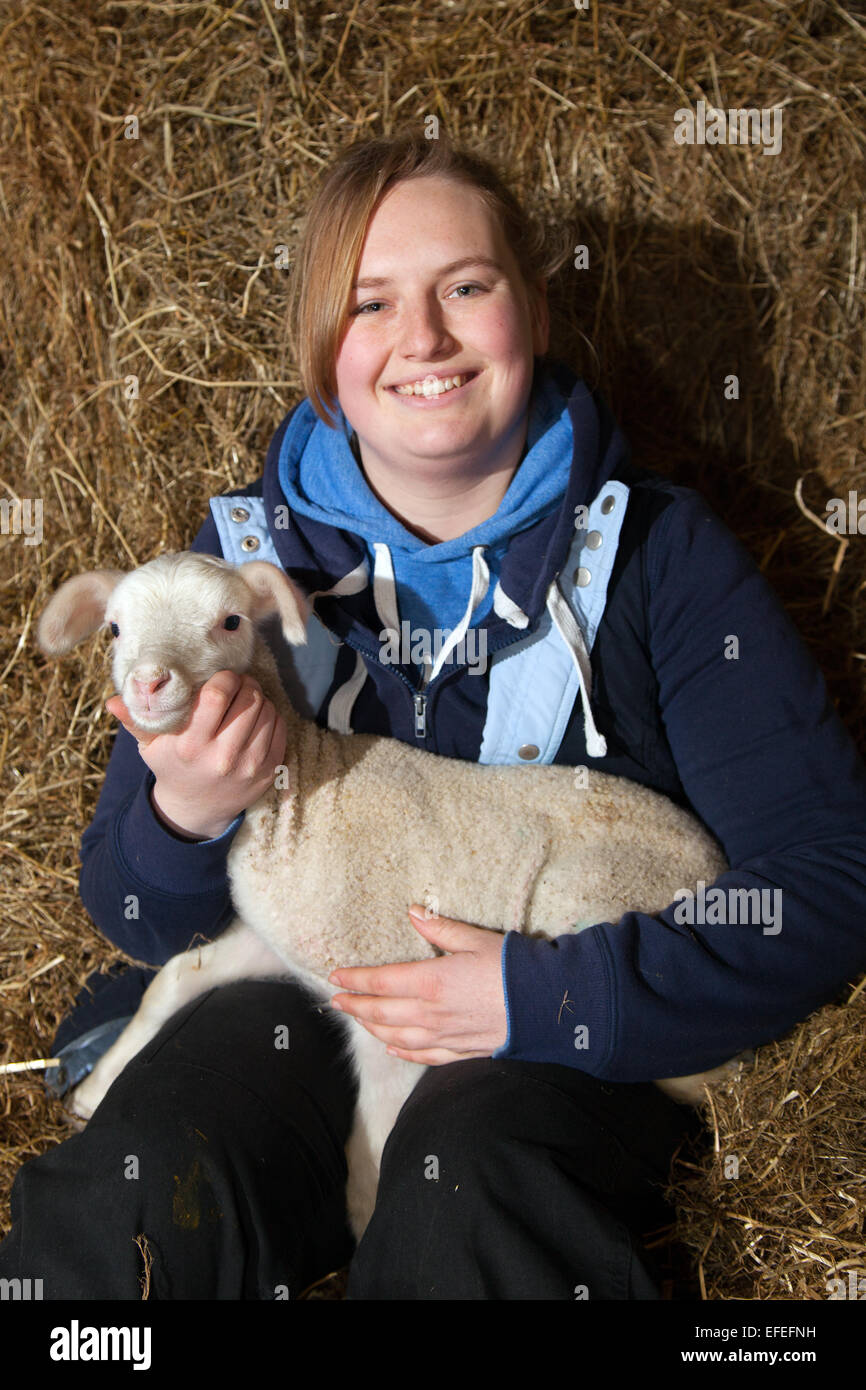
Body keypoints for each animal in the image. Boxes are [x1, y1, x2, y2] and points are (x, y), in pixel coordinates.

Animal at [37, 547, 733, 1234]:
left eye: (231, 622)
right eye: (115, 629)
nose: (151, 684)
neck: (302, 805)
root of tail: (716, 860)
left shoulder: (390, 985)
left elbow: (373, 1139)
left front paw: (363, 1218)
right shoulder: (282, 941)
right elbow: (176, 977)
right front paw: (97, 1086)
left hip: (586, 895)